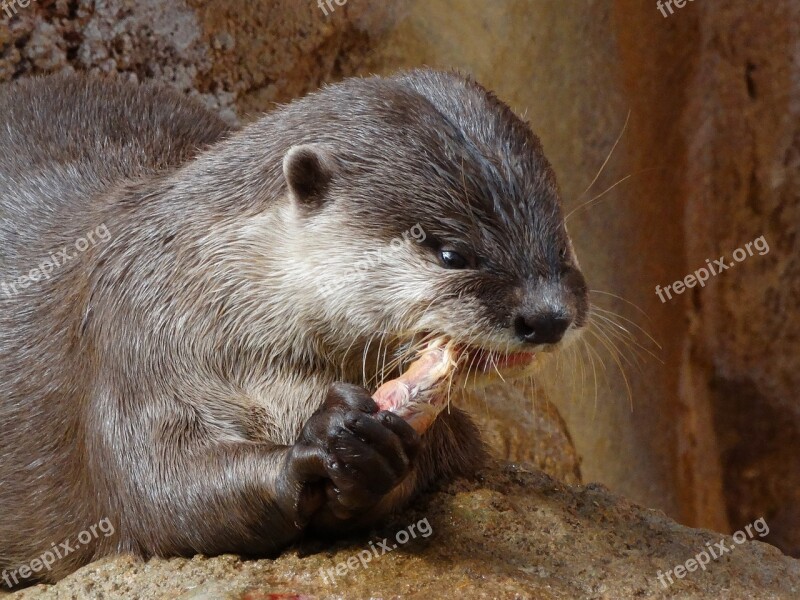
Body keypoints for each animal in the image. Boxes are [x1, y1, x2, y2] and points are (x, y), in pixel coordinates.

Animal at [0, 70, 588, 584]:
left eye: (561, 240)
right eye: (452, 254)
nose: (548, 315)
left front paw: (376, 457)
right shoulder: (134, 338)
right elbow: (156, 488)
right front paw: (317, 448)